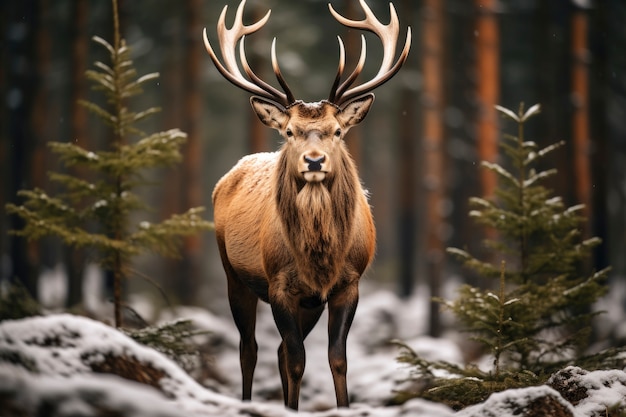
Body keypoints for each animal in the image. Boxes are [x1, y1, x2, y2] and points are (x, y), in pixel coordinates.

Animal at [204, 0, 410, 410]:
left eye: (338, 131)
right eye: (289, 131)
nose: (314, 161)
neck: (319, 256)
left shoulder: (347, 283)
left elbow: (336, 359)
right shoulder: (280, 285)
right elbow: (297, 360)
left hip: (308, 304)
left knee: (279, 351)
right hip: (233, 273)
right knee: (250, 349)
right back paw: (248, 401)